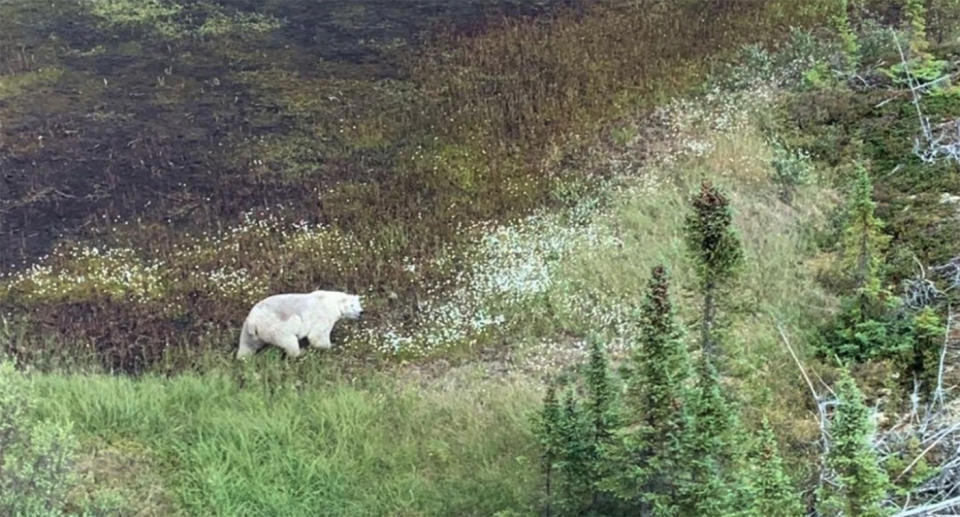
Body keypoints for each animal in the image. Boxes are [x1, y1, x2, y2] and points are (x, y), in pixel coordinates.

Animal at [236, 290, 364, 358]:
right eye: (352, 305)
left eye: (359, 304)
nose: (361, 312)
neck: (333, 302)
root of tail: (253, 320)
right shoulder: (324, 315)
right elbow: (317, 336)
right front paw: (331, 345)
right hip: (276, 326)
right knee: (289, 341)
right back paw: (301, 352)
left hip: (248, 329)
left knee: (247, 344)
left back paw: (243, 357)